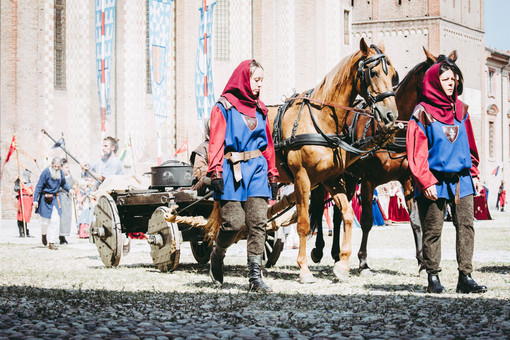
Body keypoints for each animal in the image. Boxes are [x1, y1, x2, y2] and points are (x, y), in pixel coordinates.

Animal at [264, 38, 400, 282]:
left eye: (394, 74)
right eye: (373, 72)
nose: (391, 116)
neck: (320, 119)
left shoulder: (331, 178)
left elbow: (346, 215)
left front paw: (342, 264)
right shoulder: (302, 178)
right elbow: (303, 223)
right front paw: (304, 268)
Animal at [308, 48, 460, 276]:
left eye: (457, 82)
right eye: (442, 81)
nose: (454, 111)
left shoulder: (408, 181)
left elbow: (415, 221)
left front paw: (422, 262)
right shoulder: (368, 181)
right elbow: (367, 221)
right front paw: (363, 263)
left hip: (349, 179)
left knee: (337, 213)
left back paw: (336, 254)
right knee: (319, 208)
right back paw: (319, 250)